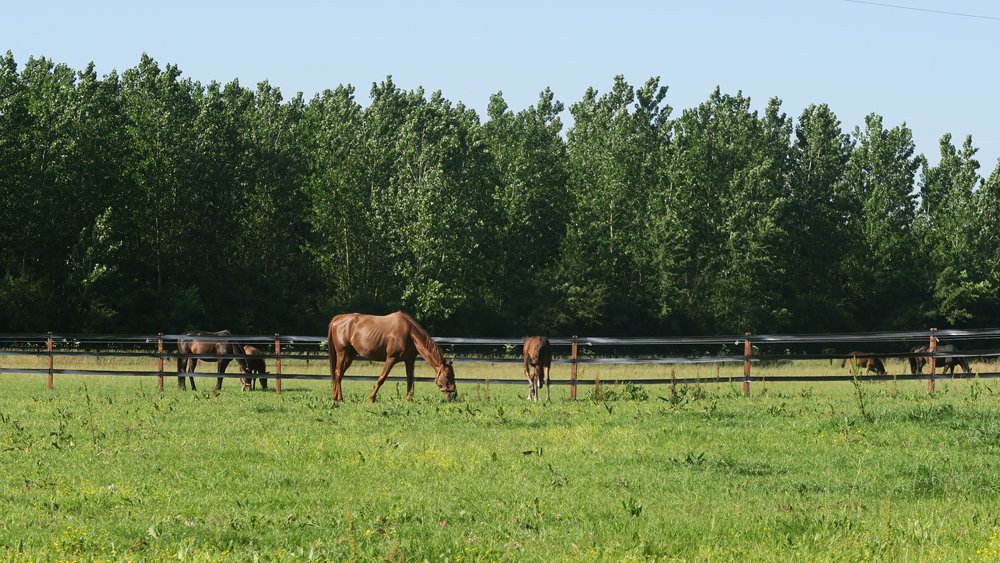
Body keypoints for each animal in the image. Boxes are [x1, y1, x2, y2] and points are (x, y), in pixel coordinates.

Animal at [327, 311, 457, 402]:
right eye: (447, 375)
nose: (454, 395)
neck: (409, 333)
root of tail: (338, 319)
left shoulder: (409, 360)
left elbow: (410, 379)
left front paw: (408, 399)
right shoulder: (391, 359)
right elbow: (381, 379)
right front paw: (372, 398)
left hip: (350, 355)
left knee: (339, 374)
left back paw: (335, 397)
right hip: (342, 353)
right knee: (338, 373)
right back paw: (340, 399)